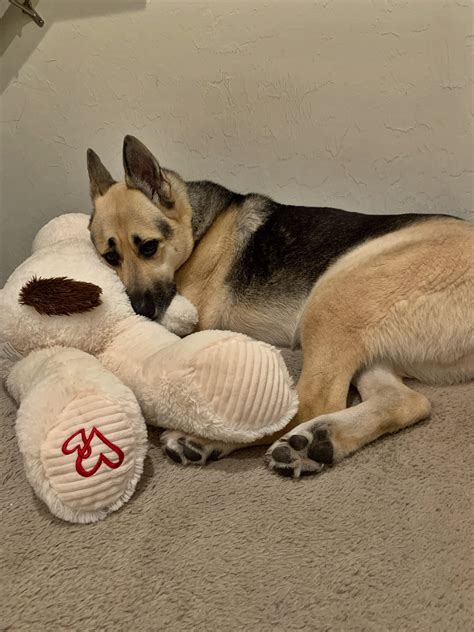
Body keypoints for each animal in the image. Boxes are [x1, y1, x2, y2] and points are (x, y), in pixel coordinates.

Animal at [86, 136, 474, 476]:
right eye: (110, 257)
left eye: (148, 247)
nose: (142, 310)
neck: (199, 231)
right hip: (363, 335)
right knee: (407, 402)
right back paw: (318, 442)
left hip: (334, 294)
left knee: (310, 404)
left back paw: (205, 439)